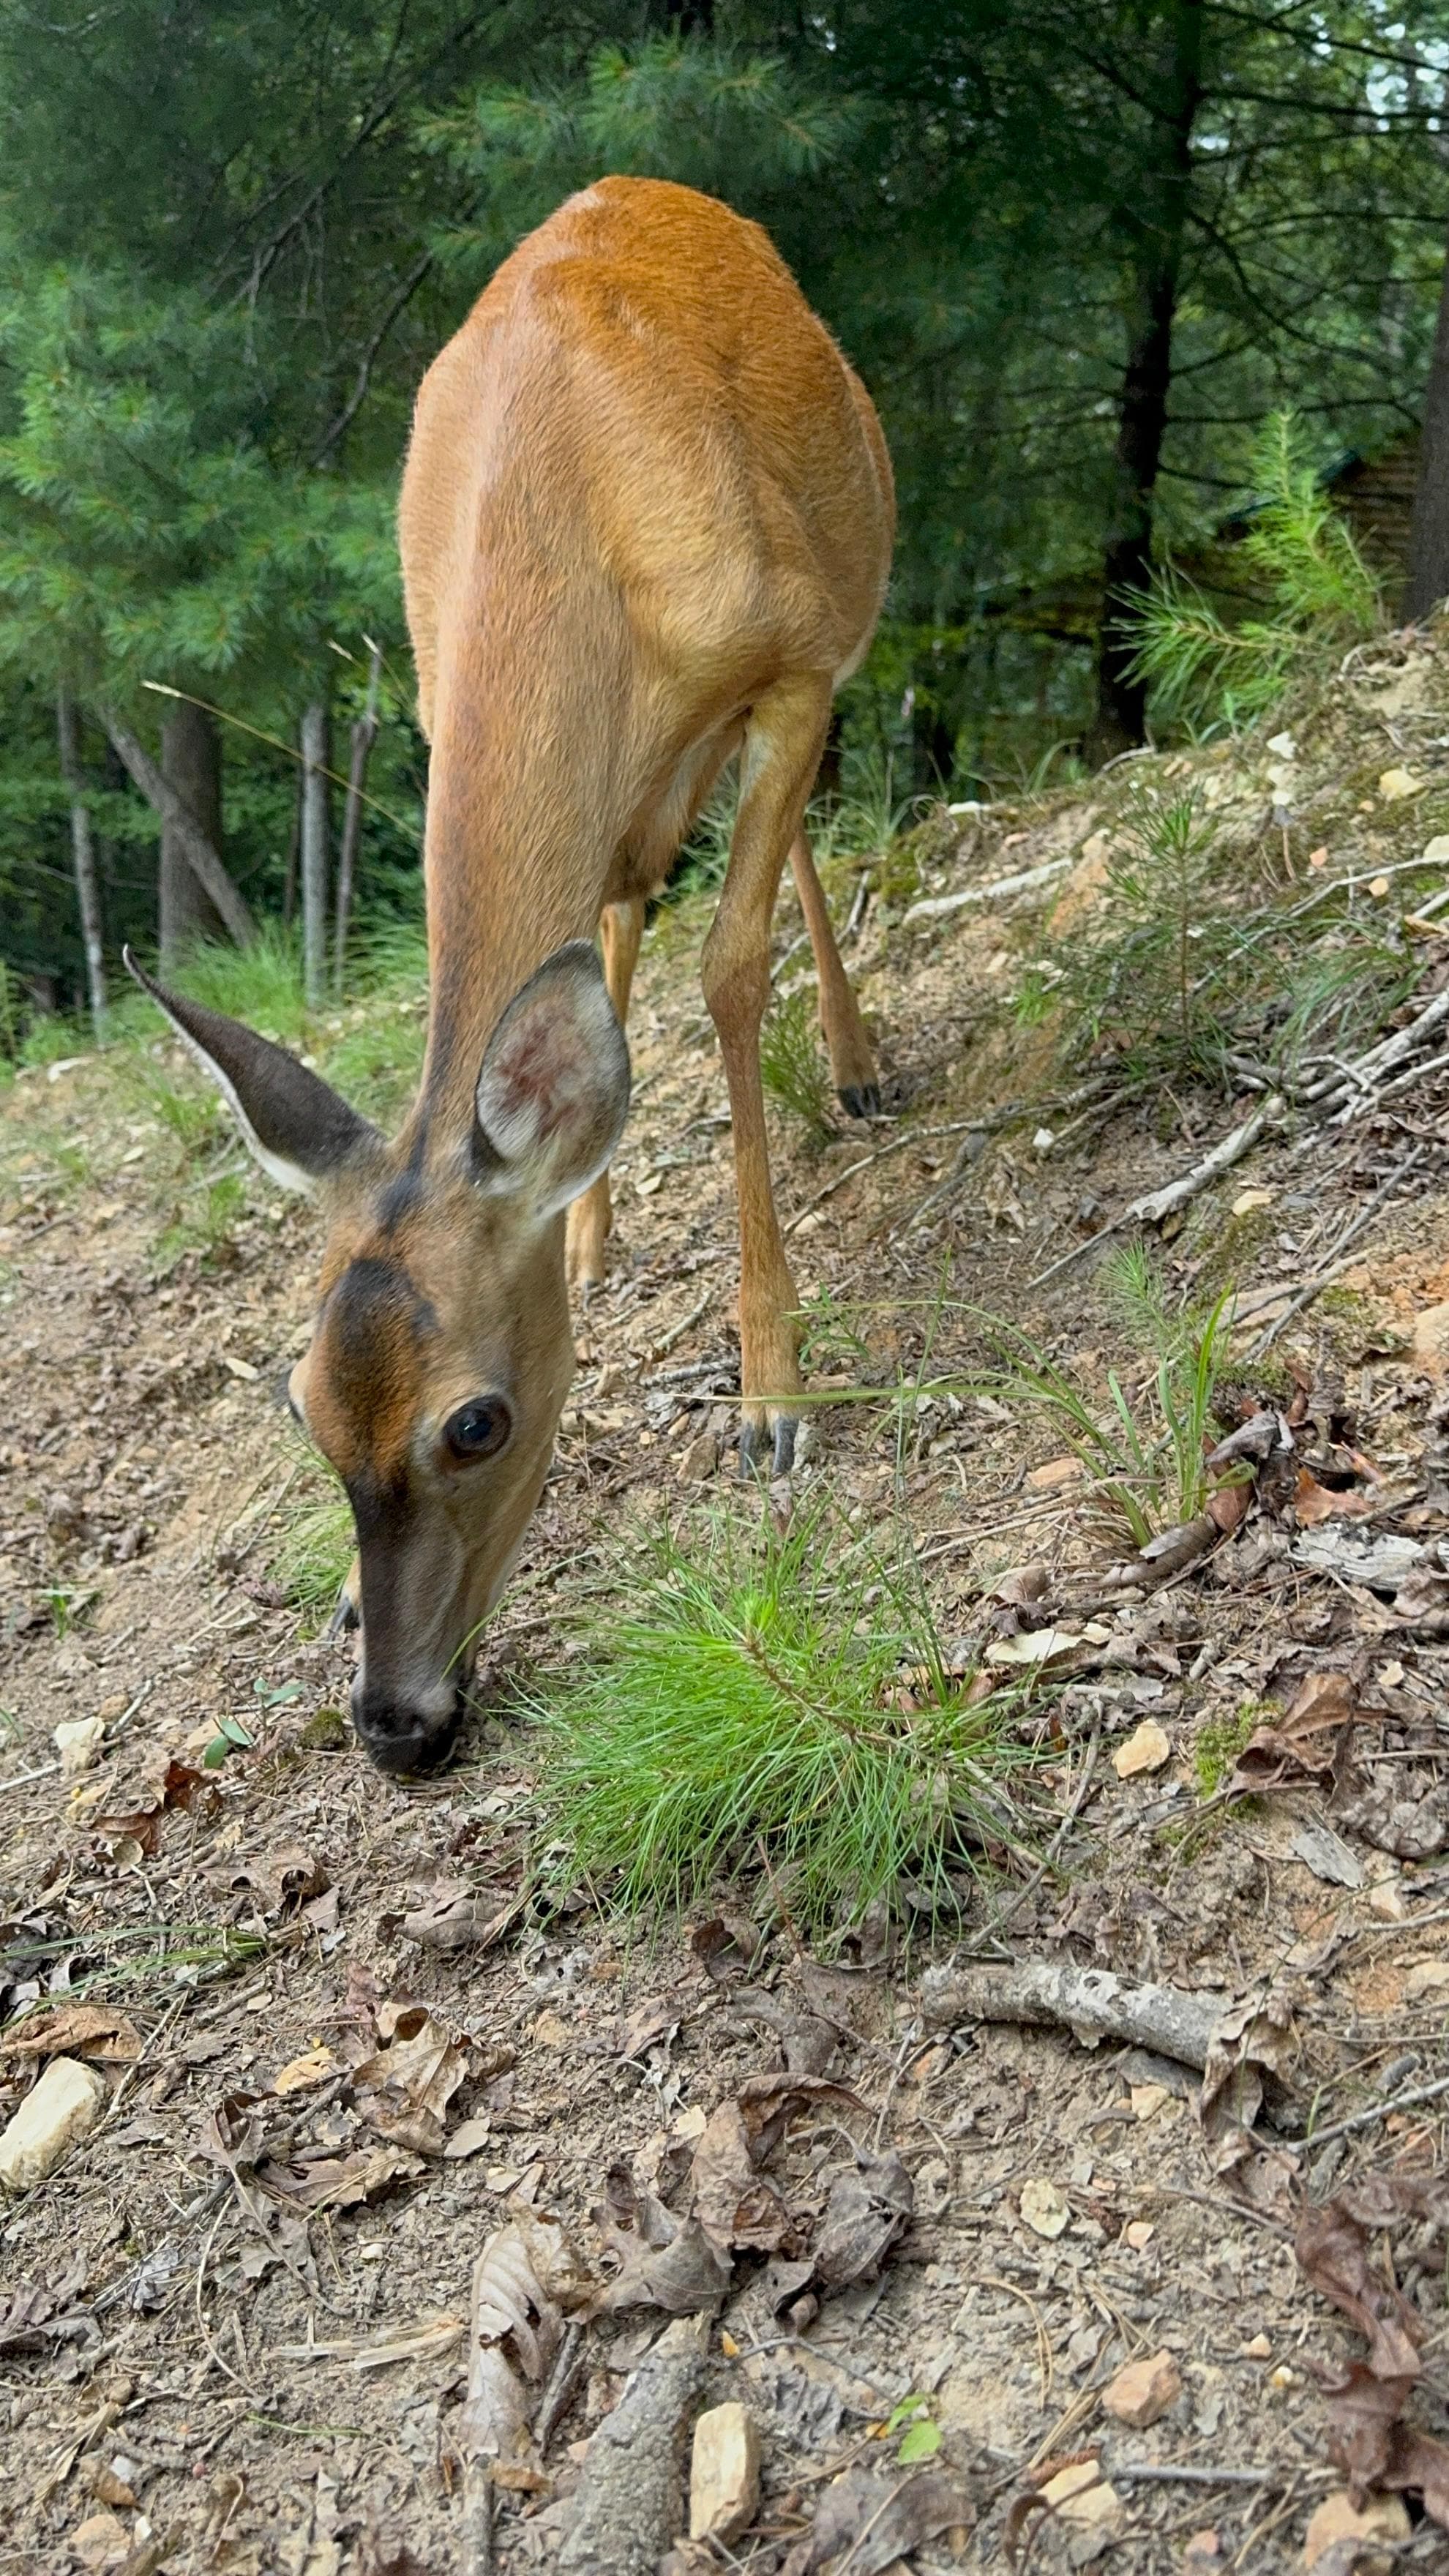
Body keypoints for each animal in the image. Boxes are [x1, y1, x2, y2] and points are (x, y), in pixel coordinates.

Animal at [124, 175, 894, 1776]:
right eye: (302, 1408)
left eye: (476, 1423)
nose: (397, 1722)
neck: (568, 520)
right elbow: (611, 963)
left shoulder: (792, 661)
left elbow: (733, 966)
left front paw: (774, 1390)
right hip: (646, 797)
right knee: (613, 923)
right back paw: (594, 1230)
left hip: (836, 605)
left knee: (781, 866)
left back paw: (859, 1069)